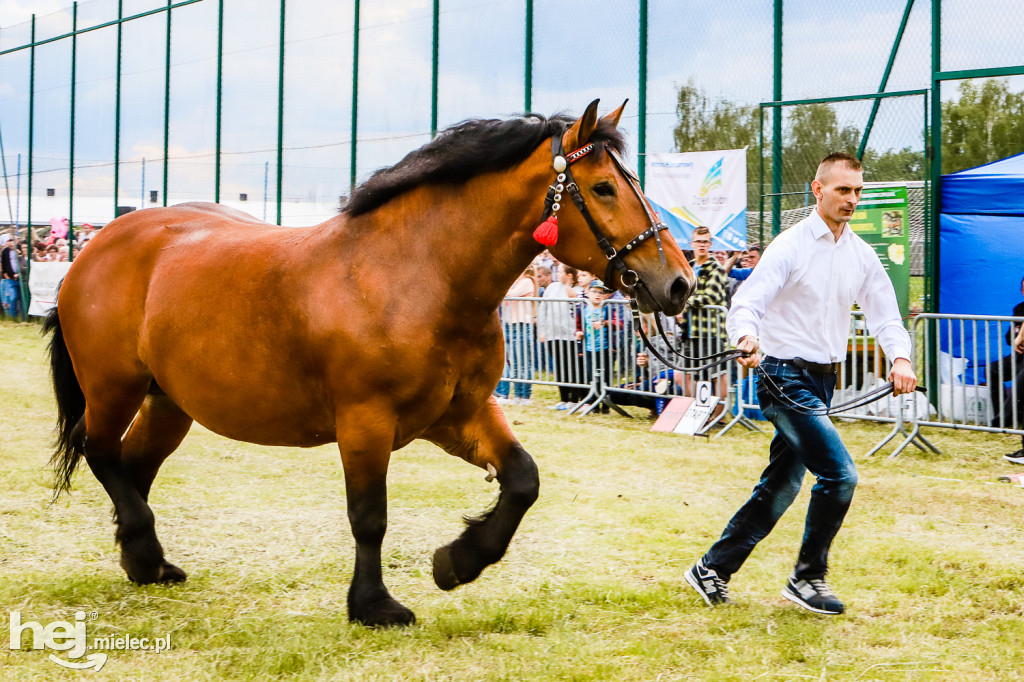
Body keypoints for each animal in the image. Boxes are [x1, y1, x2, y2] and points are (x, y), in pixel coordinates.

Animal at [44, 98, 692, 622]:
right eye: (604, 188)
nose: (680, 282)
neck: (419, 275)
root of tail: (98, 245)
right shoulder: (365, 422)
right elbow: (369, 516)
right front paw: (374, 605)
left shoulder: (458, 413)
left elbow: (522, 479)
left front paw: (457, 562)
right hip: (112, 386)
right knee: (98, 450)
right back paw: (145, 549)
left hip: (168, 402)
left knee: (132, 465)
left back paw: (144, 562)